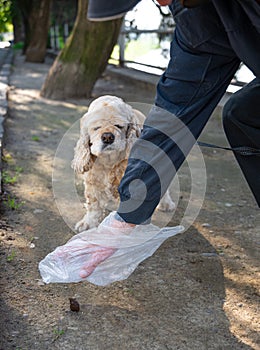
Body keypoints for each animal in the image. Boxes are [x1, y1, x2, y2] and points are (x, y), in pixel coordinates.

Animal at [71, 96, 175, 232]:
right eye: (97, 127)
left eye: (119, 126)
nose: (107, 137)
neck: (110, 161)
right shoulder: (93, 182)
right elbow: (94, 205)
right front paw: (87, 224)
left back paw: (166, 204)